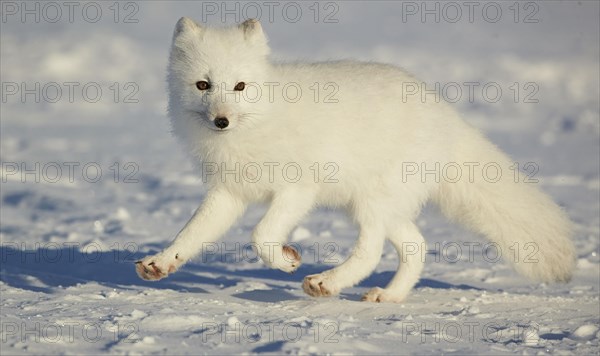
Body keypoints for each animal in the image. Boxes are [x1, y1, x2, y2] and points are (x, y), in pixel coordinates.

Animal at [137, 18, 576, 302]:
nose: (221, 121)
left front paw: (287, 261)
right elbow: (192, 233)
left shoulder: (298, 189)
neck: (259, 121)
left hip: (370, 202)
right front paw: (161, 263)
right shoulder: (229, 192)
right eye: (203, 85)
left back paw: (327, 283)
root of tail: (448, 117)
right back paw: (390, 296)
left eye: (241, 86)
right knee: (415, 245)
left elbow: (261, 235)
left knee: (372, 250)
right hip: (378, 205)